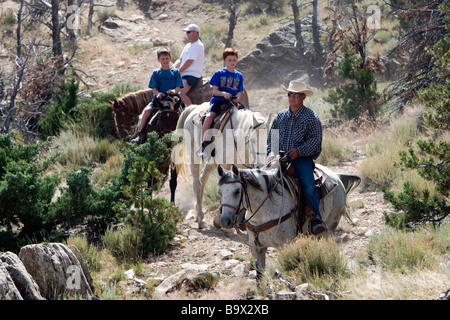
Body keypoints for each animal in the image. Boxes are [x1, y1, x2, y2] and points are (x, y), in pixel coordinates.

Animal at [216, 162, 360, 272]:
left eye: (237, 191)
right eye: (219, 192)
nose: (225, 221)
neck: (265, 209)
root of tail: (337, 177)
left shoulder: (284, 245)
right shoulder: (256, 248)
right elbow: (259, 277)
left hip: (330, 227)